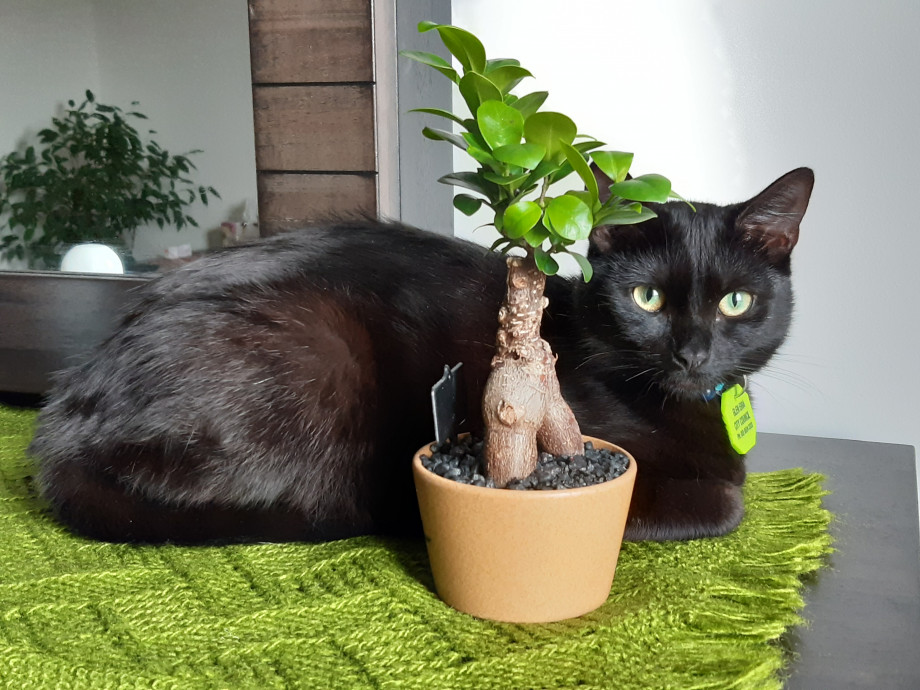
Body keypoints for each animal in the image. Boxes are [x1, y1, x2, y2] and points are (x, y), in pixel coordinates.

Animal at [30, 167, 812, 544]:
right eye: (647, 299)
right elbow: (728, 501)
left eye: (735, 302)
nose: (692, 352)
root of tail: (61, 421)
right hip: (322, 353)